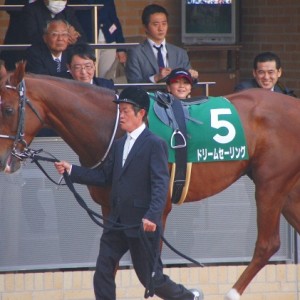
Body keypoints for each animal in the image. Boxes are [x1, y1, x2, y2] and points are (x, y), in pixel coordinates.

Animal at [0, 62, 300, 298]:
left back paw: (232, 293)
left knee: (267, 244)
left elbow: (151, 272)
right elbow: (109, 266)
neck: (112, 125)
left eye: (8, 109)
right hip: (286, 191)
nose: (5, 159)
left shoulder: (156, 211)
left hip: (270, 184)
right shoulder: (112, 210)